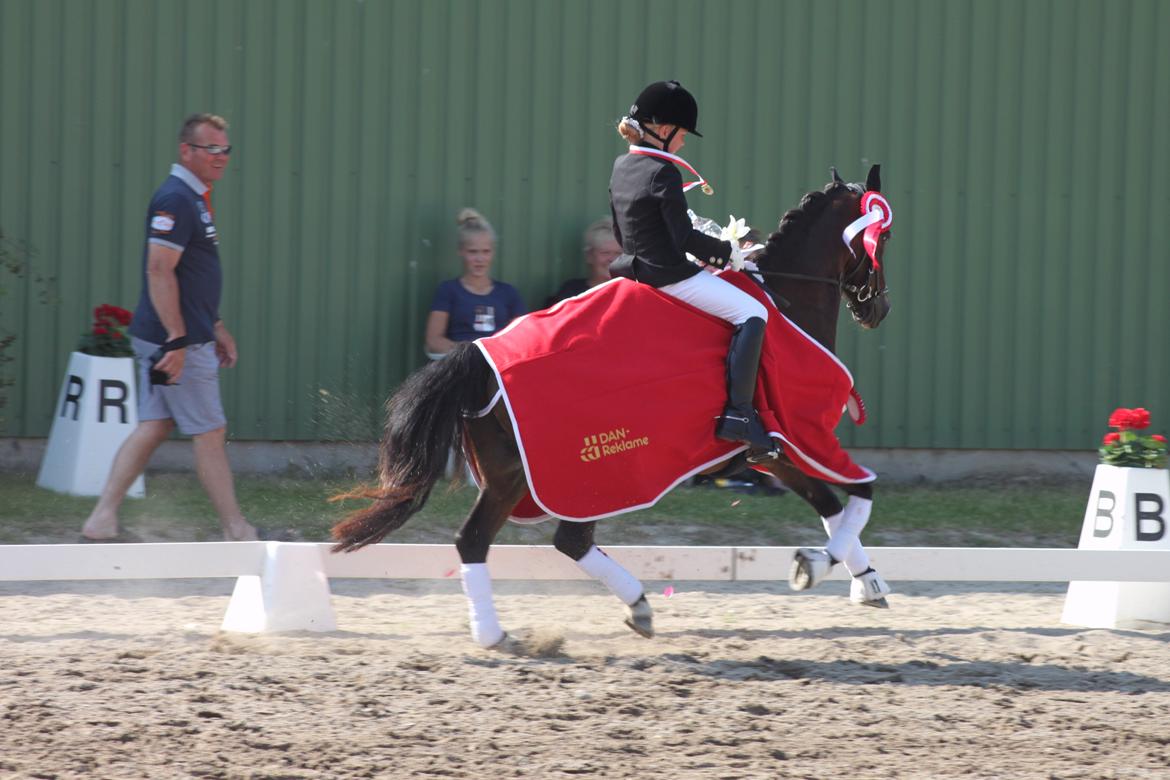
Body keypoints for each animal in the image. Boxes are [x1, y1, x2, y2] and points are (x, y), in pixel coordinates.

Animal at [332, 165, 894, 648]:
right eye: (882, 238)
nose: (878, 309)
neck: (785, 298)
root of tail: (477, 354)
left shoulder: (771, 452)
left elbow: (833, 508)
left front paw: (867, 582)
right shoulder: (798, 436)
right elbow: (859, 496)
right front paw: (815, 567)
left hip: (527, 478)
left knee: (539, 541)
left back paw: (625, 609)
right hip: (568, 477)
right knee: (510, 541)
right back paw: (500, 634)